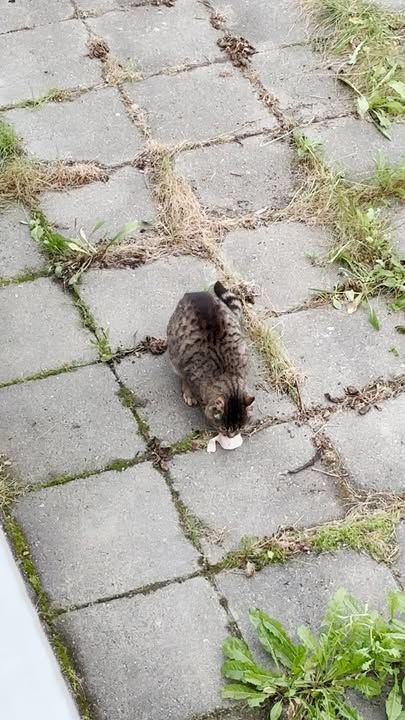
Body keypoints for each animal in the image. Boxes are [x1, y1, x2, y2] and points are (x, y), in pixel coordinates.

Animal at [166, 282, 254, 438]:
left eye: (239, 428)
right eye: (225, 429)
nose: (231, 436)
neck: (229, 376)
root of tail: (193, 293)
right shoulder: (190, 373)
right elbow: (187, 382)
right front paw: (191, 394)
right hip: (174, 353)